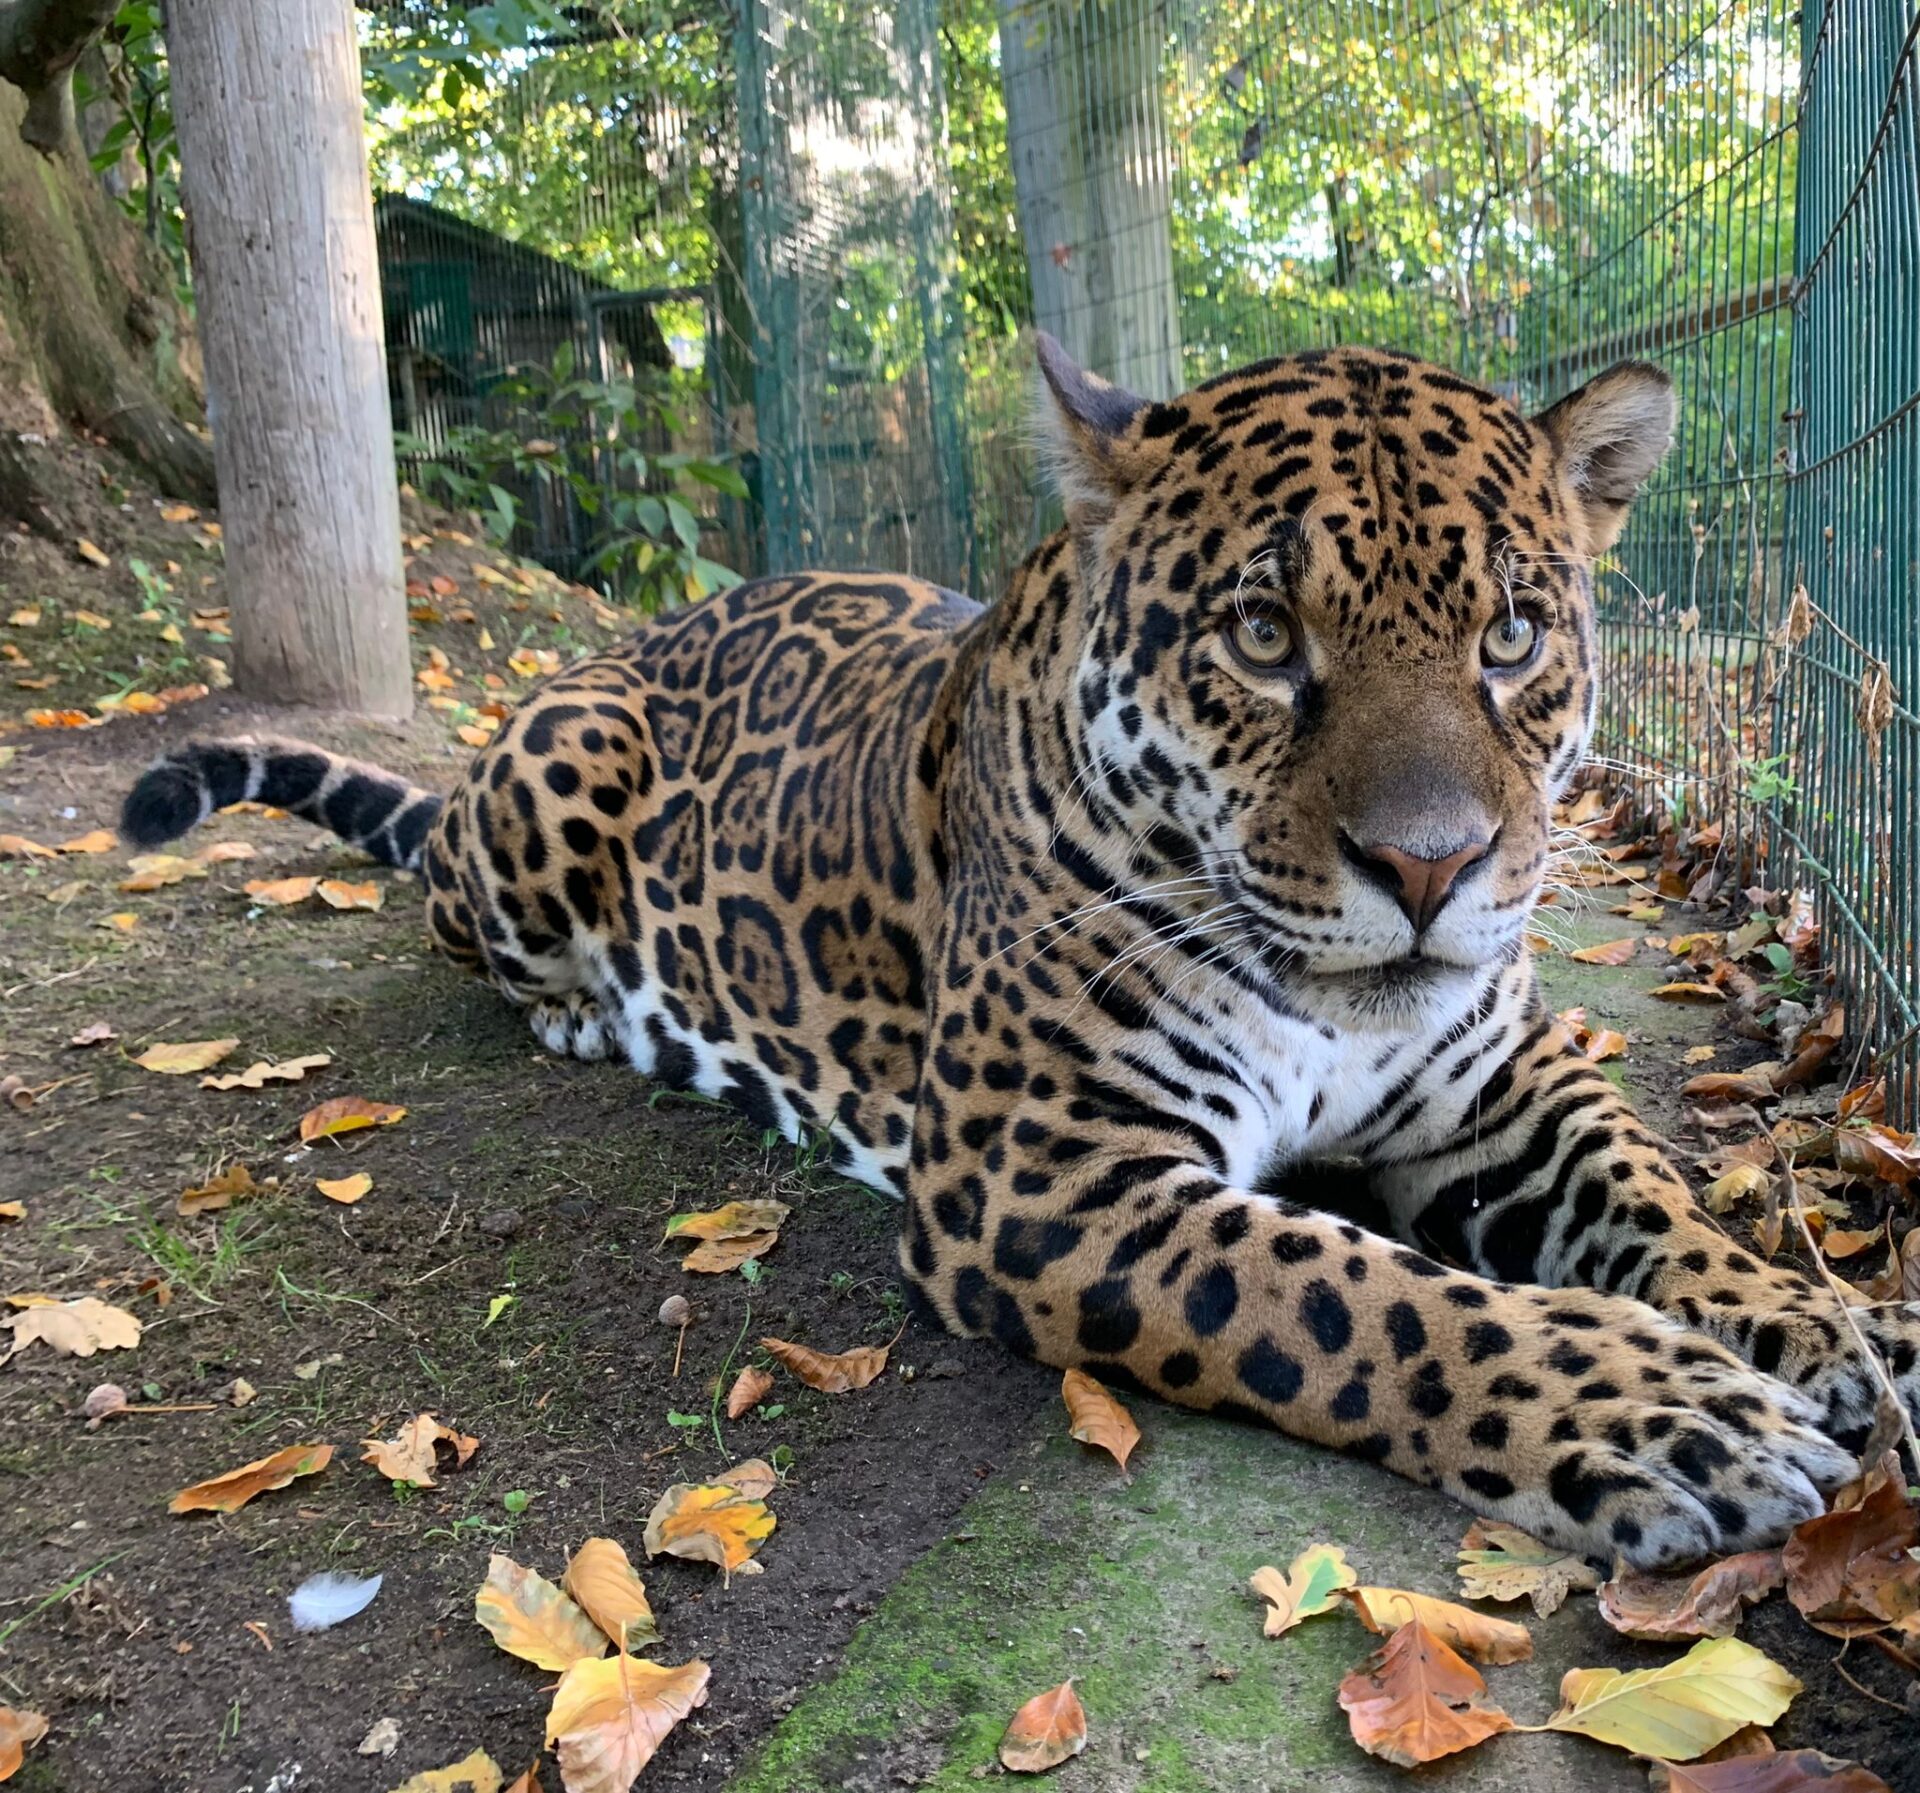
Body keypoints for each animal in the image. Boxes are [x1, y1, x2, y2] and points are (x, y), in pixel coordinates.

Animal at [124, 334, 1920, 1568]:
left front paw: (1822, 1323)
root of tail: (648, 628)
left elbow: (1652, 1193)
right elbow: (1371, 1300)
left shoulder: (1507, 1089)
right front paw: (1660, 1417)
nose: (1432, 866)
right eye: (1262, 636)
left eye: (1514, 635)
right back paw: (601, 1012)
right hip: (557, 774)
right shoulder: (1044, 1167)